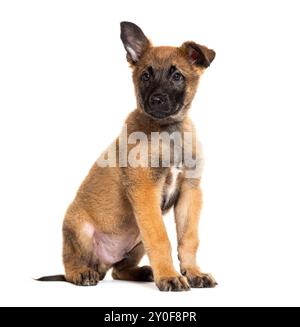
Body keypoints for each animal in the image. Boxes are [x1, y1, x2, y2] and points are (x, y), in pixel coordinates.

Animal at [40, 21, 218, 292]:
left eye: (177, 76)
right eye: (146, 76)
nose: (156, 100)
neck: (168, 130)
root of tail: (102, 264)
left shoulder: (190, 192)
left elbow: (189, 238)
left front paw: (194, 273)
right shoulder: (145, 190)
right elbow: (161, 238)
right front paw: (169, 276)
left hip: (137, 235)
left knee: (118, 271)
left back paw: (143, 272)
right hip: (78, 226)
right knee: (71, 263)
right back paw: (82, 273)